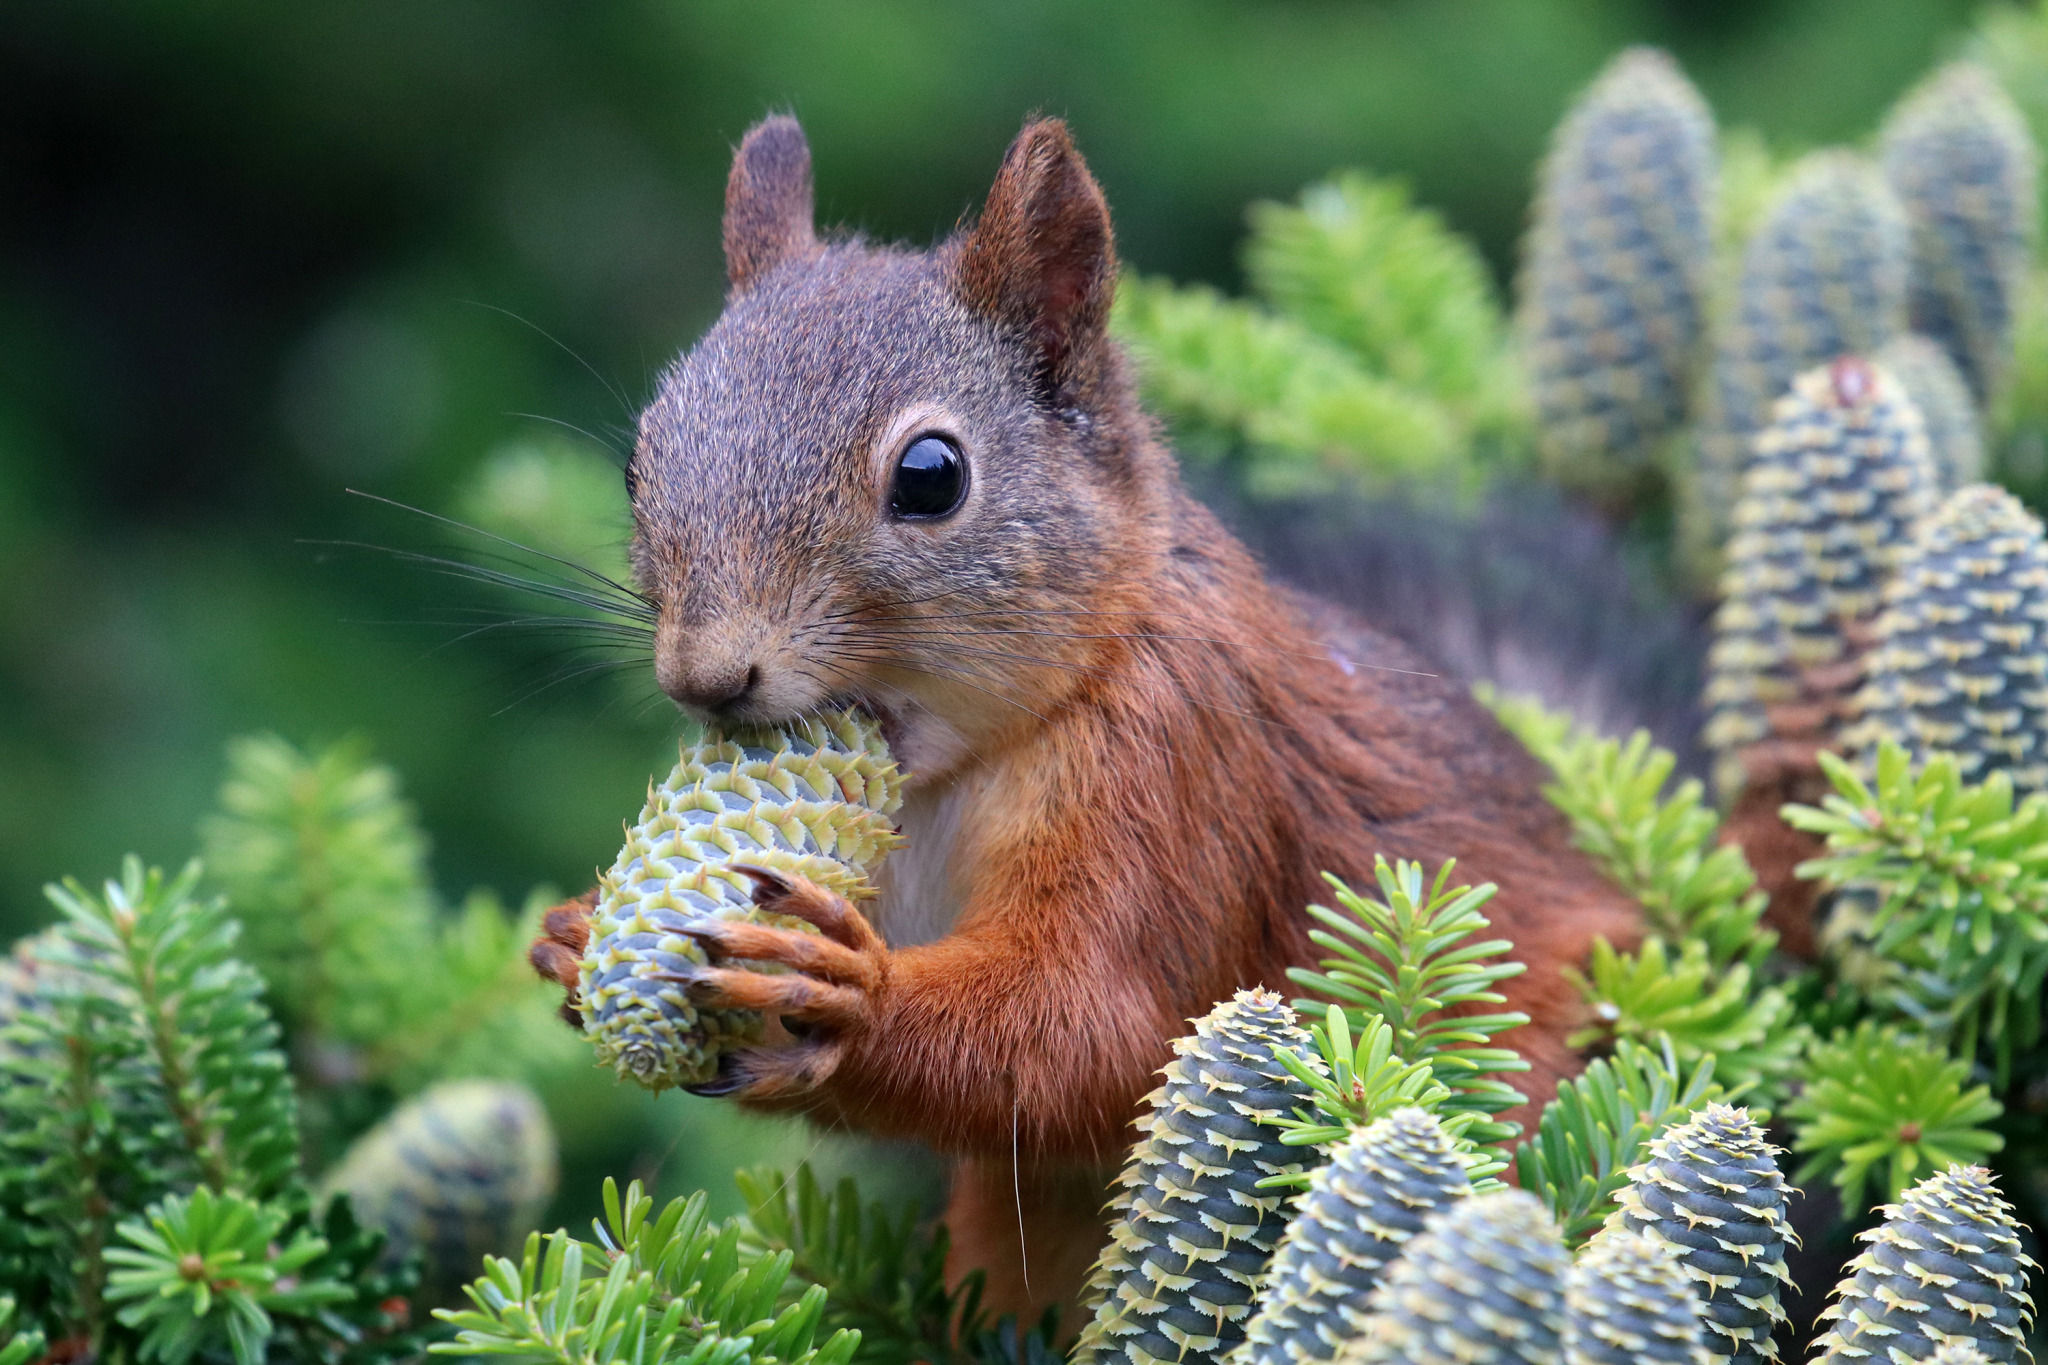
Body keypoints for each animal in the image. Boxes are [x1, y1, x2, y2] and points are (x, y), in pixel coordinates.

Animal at [527, 114, 1646, 1321]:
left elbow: (1091, 1033)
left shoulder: (1176, 774)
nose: (704, 676)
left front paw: (847, 995)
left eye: (931, 475)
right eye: (638, 458)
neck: (950, 776)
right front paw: (573, 935)